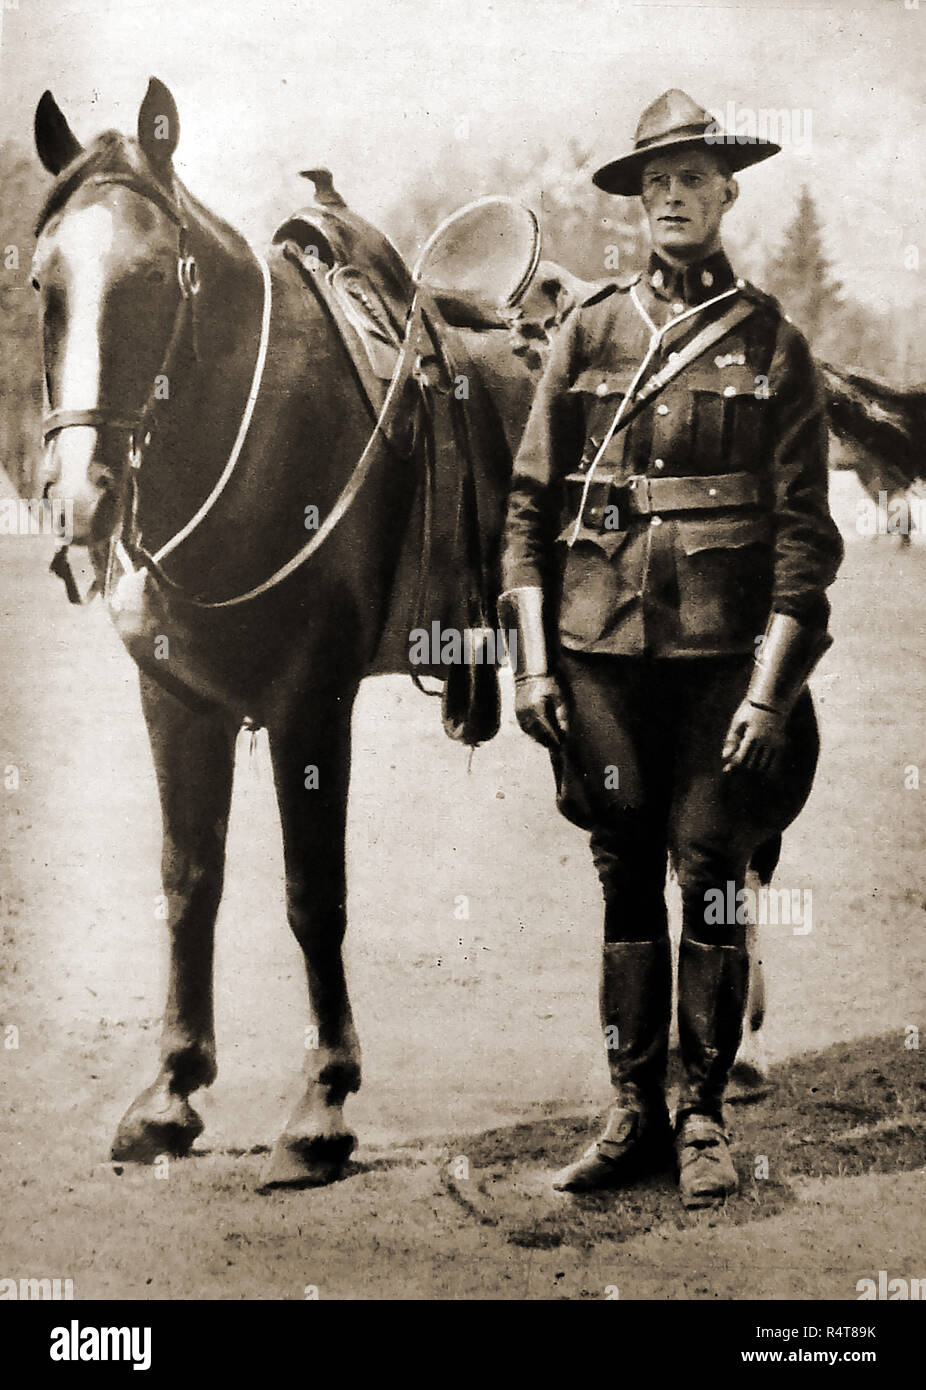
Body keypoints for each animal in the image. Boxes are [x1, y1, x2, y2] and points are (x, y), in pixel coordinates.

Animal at [32, 76, 522, 1184]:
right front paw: (171, 1093)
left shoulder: (311, 704)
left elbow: (312, 894)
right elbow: (188, 882)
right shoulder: (176, 701)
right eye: (44, 282)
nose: (81, 498)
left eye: (155, 279)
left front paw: (322, 1104)